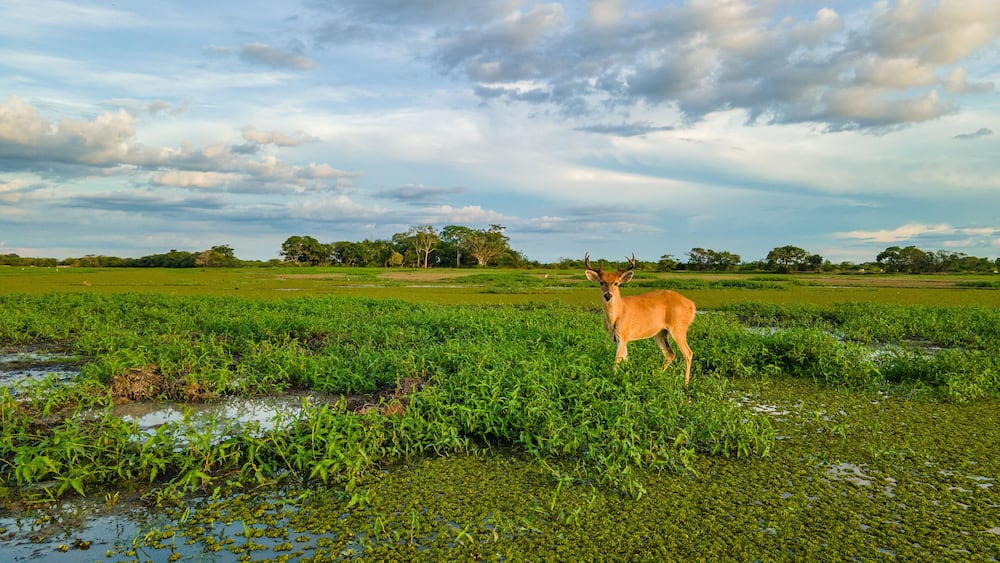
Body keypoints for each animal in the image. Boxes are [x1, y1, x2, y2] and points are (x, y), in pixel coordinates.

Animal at [585, 253, 696, 385]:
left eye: (616, 283)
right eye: (601, 282)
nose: (608, 295)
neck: (617, 314)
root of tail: (692, 305)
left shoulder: (623, 335)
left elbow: (617, 361)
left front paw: (613, 378)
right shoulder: (619, 338)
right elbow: (625, 359)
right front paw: (626, 376)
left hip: (678, 328)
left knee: (688, 353)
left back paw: (685, 383)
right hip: (661, 333)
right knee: (670, 354)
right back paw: (657, 375)